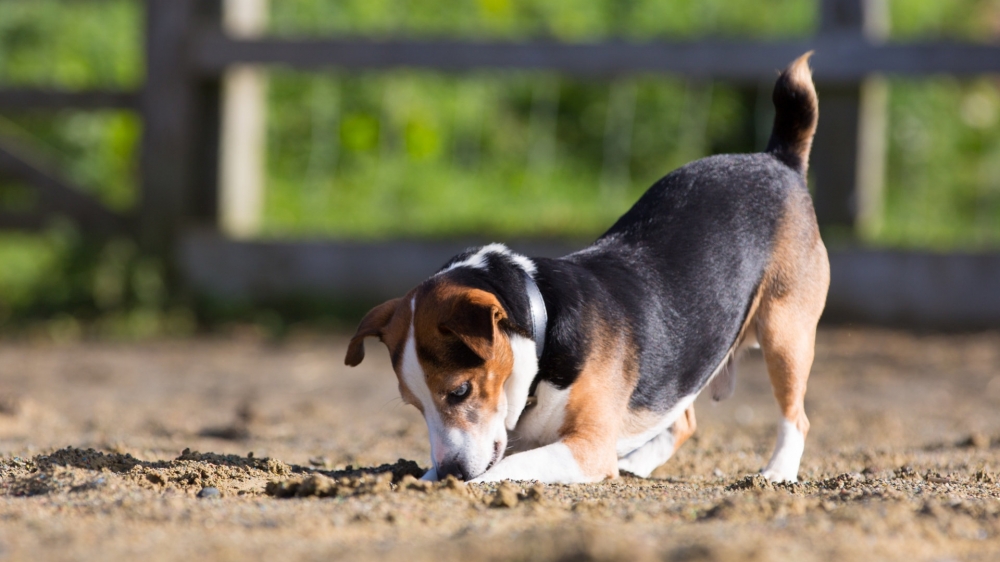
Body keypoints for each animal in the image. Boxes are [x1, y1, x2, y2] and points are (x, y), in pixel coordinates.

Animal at [344, 52, 828, 482]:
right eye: (414, 405)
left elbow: (505, 467)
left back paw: (777, 472)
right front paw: (422, 479)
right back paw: (638, 463)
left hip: (785, 334)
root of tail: (777, 158)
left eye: (459, 391)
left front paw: (466, 483)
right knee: (683, 419)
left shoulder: (587, 448)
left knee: (796, 417)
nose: (451, 472)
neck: (543, 330)